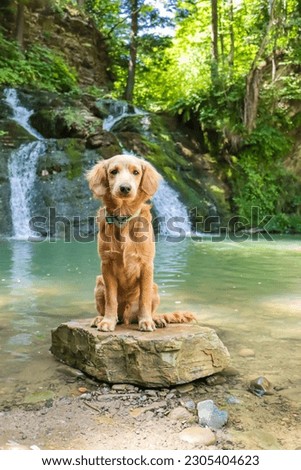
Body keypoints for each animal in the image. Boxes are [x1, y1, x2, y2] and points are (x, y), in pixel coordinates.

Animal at [85, 154, 196, 330]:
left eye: (136, 172)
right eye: (113, 171)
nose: (125, 188)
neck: (123, 218)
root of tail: (126, 318)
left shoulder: (146, 265)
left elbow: (144, 299)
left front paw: (146, 321)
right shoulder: (107, 264)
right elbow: (111, 299)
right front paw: (108, 321)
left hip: (155, 287)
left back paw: (155, 319)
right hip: (99, 283)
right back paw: (100, 318)